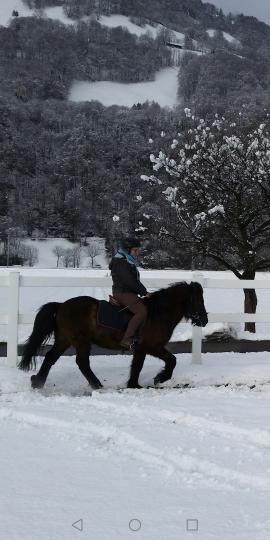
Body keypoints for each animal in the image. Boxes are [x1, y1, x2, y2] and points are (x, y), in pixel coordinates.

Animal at [19, 280, 208, 390]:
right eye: (197, 299)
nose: (205, 320)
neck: (158, 313)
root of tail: (61, 305)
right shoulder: (151, 346)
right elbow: (170, 360)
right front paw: (159, 378)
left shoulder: (142, 349)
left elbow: (137, 366)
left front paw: (135, 384)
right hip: (80, 341)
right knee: (82, 362)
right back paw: (97, 385)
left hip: (64, 340)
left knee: (51, 357)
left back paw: (37, 382)